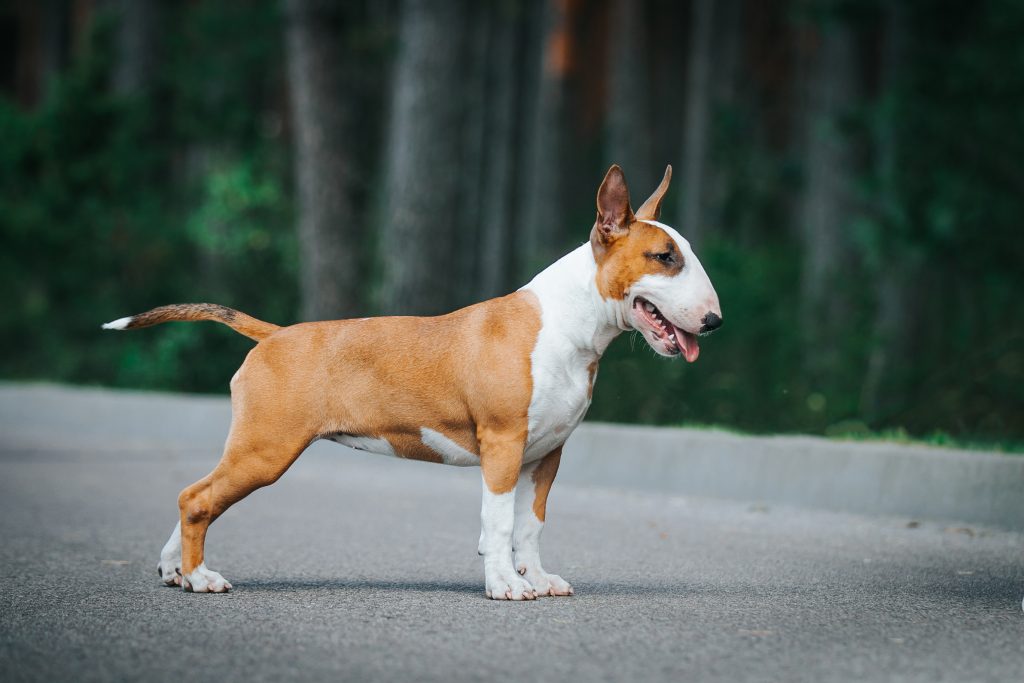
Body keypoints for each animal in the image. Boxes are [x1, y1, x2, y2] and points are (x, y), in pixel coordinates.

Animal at [101, 163, 720, 598]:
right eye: (664, 257)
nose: (714, 321)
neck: (568, 323)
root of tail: (274, 334)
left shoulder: (545, 457)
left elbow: (530, 525)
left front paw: (537, 579)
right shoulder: (502, 445)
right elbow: (498, 523)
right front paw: (505, 586)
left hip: (255, 448)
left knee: (196, 496)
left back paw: (178, 570)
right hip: (266, 448)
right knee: (198, 498)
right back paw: (202, 578)